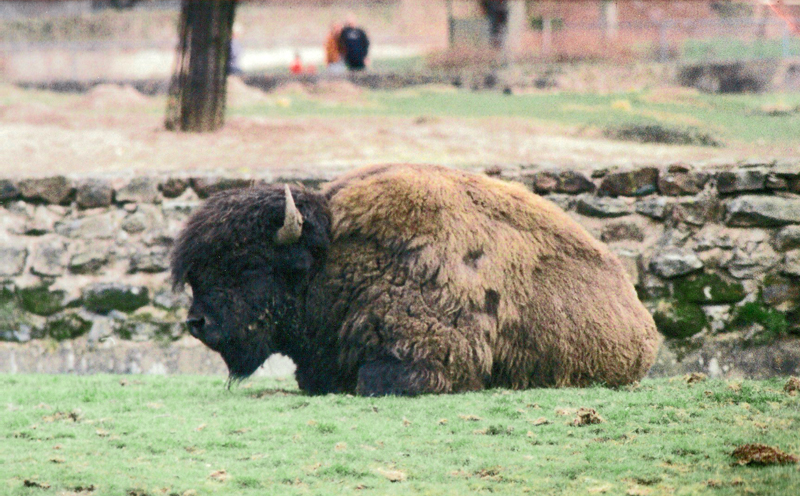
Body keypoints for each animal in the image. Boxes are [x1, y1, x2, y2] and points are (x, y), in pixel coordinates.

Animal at [171, 164, 660, 395]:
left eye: (249, 265)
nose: (197, 322)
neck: (332, 259)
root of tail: (641, 317)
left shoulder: (429, 359)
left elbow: (374, 382)